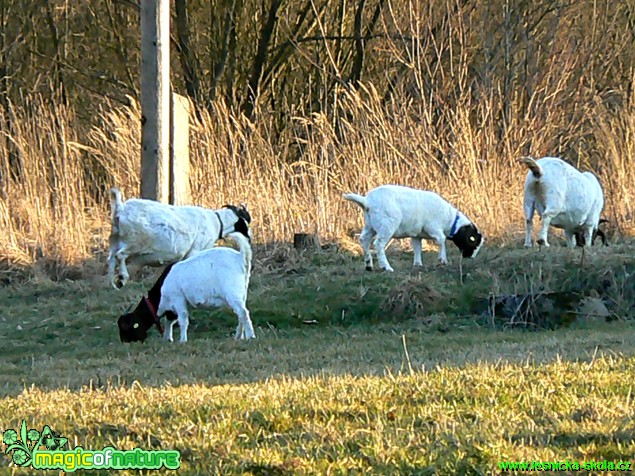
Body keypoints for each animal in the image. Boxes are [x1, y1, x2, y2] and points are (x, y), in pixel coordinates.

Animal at [107, 188, 251, 288]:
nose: (250, 236)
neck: (216, 221)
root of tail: (120, 208)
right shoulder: (194, 251)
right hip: (136, 242)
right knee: (120, 255)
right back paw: (122, 278)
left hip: (115, 241)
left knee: (111, 260)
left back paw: (114, 284)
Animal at [115, 218, 255, 344]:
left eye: (128, 327)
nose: (125, 342)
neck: (162, 291)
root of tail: (240, 257)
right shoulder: (171, 308)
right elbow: (169, 321)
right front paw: (167, 339)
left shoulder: (178, 299)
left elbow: (182, 319)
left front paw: (182, 340)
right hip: (242, 293)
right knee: (240, 314)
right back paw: (238, 337)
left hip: (232, 293)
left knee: (243, 312)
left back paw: (250, 336)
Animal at [346, 184, 484, 272]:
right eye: (472, 240)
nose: (470, 257)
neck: (450, 220)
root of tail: (367, 201)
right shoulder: (433, 228)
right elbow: (442, 240)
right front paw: (442, 260)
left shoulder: (417, 235)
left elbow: (417, 248)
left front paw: (418, 264)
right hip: (386, 225)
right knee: (378, 244)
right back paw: (386, 267)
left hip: (370, 226)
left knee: (363, 240)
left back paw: (369, 266)